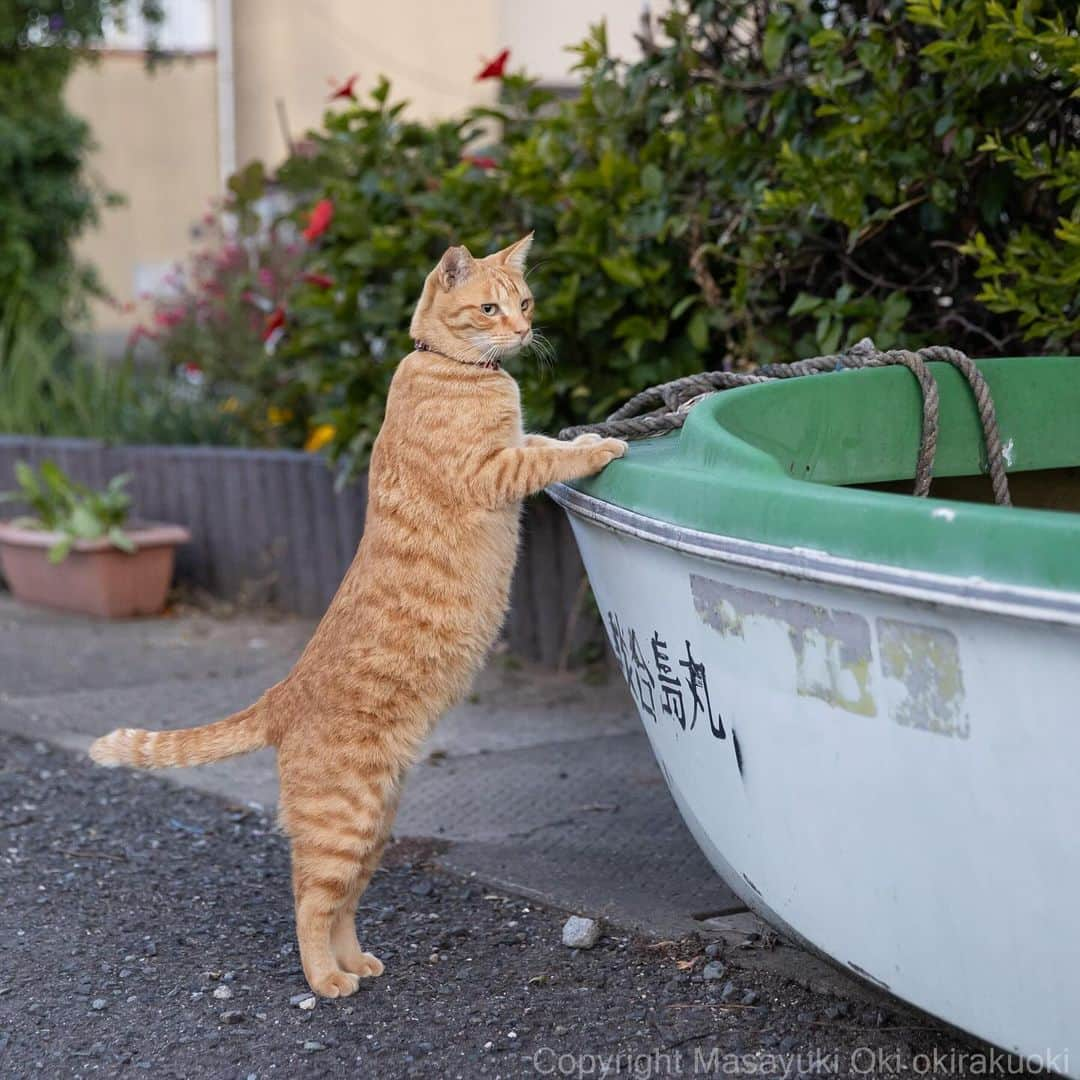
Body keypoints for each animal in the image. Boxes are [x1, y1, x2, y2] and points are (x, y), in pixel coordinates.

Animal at [89, 234, 630, 993]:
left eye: (524, 302)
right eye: (488, 308)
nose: (523, 333)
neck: (455, 368)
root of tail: (281, 695)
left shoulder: (514, 444)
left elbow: (547, 441)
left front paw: (585, 437)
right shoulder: (492, 468)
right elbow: (548, 459)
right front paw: (602, 447)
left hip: (376, 821)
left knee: (341, 902)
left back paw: (356, 962)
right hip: (345, 821)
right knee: (308, 902)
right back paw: (326, 980)